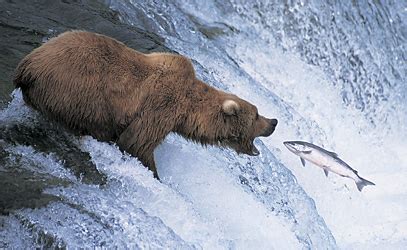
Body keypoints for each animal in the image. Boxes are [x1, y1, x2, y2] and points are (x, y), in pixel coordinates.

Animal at [14, 30, 278, 180]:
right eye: (256, 115)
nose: (274, 121)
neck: (187, 110)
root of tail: (28, 66)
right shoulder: (160, 107)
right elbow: (137, 143)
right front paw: (154, 173)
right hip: (79, 91)